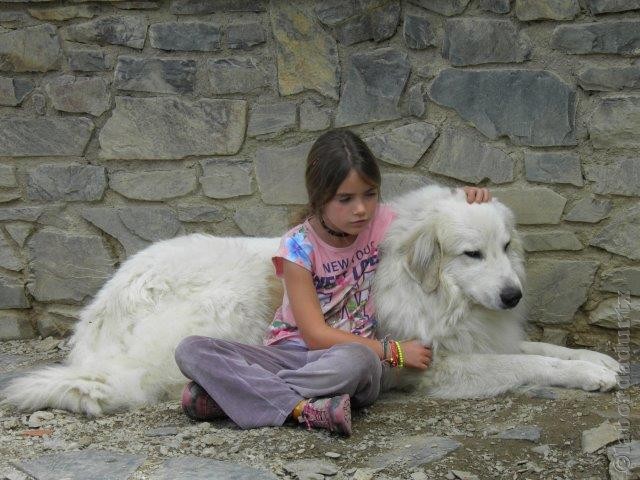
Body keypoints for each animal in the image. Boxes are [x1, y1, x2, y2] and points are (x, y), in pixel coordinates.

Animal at [1, 186, 620, 414]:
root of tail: (95, 328)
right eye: (472, 254)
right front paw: (589, 376)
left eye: (506, 246)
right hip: (229, 302)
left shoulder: (485, 334)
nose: (513, 295)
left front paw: (599, 360)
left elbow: (542, 348)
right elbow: (526, 362)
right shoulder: (440, 367)